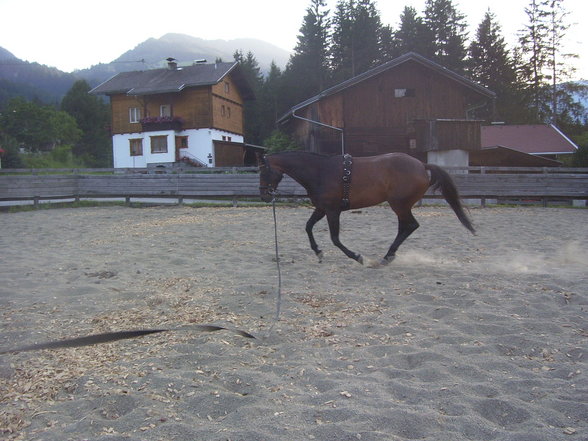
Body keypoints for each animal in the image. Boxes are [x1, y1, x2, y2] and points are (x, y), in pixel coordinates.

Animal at [258, 150, 474, 266]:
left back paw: (387, 257)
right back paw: (389, 255)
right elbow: (308, 227)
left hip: (400, 205)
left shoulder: (332, 211)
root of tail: (421, 165)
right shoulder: (321, 208)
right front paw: (318, 252)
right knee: (405, 227)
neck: (321, 171)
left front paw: (357, 257)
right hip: (401, 206)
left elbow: (335, 239)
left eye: (263, 172)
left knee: (411, 226)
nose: (264, 195)